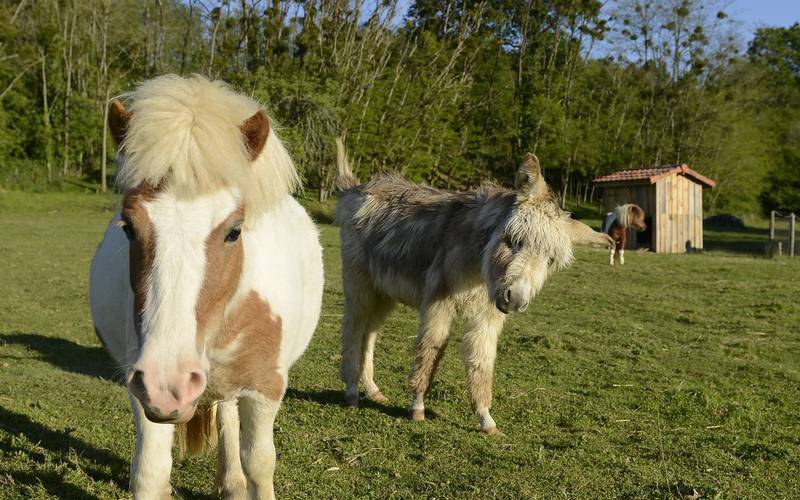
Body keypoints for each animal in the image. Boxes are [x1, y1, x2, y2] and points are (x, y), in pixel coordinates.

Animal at [90, 75, 322, 500]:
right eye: (128, 227)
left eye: (234, 231)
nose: (170, 382)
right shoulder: (142, 388)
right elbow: (150, 473)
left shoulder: (265, 390)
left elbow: (260, 463)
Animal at [334, 142, 608, 434]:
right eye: (513, 240)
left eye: (550, 260)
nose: (515, 300)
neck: (479, 265)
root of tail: (356, 188)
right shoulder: (439, 302)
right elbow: (431, 349)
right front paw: (417, 407)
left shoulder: (489, 313)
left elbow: (482, 360)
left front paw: (486, 419)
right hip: (359, 281)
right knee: (354, 327)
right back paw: (352, 392)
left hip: (384, 290)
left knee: (370, 332)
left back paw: (373, 391)